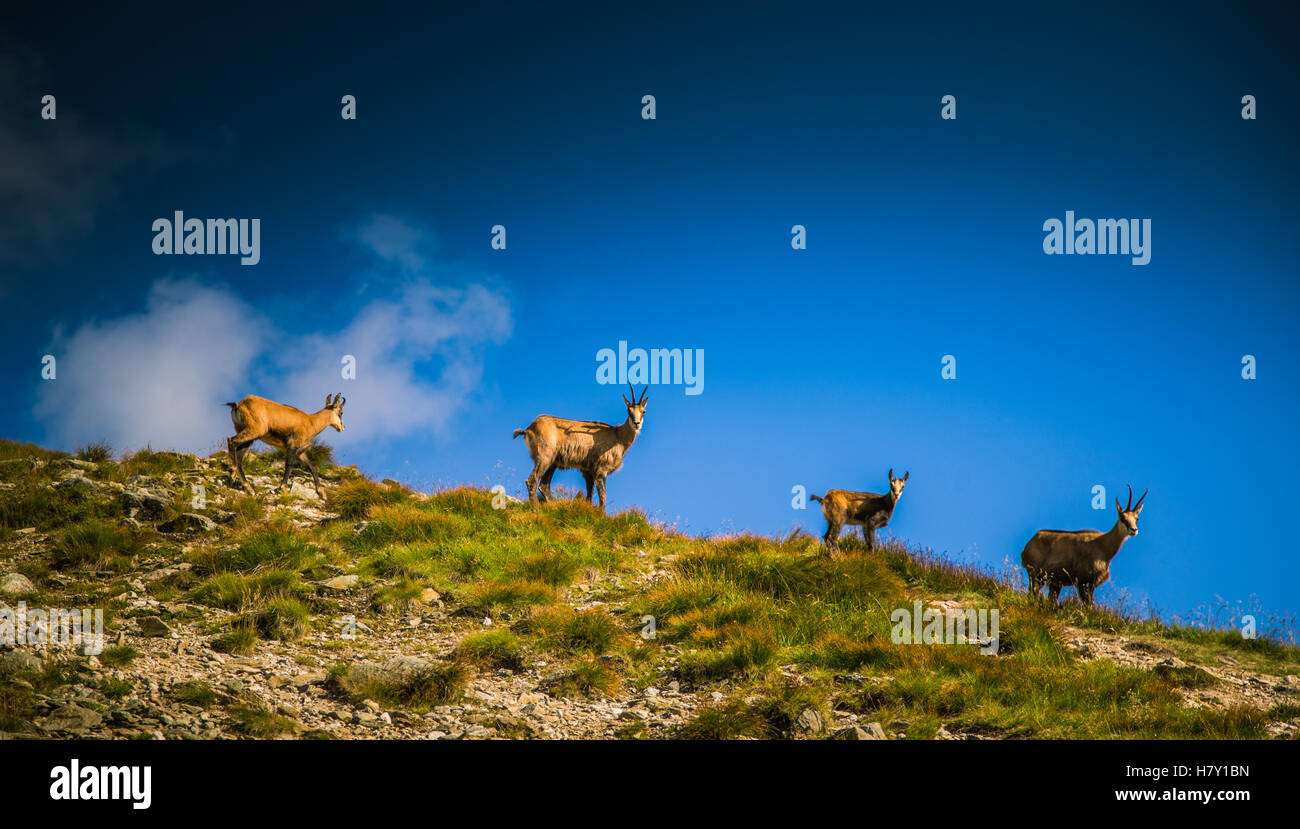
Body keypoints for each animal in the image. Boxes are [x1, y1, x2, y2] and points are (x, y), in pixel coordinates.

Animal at [513, 383, 647, 510]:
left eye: (643, 411)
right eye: (629, 411)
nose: (636, 424)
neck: (618, 436)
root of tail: (529, 429)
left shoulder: (588, 471)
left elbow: (589, 494)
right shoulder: (601, 470)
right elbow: (602, 495)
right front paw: (601, 514)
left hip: (552, 462)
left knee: (544, 486)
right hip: (545, 457)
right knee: (532, 481)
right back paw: (536, 508)